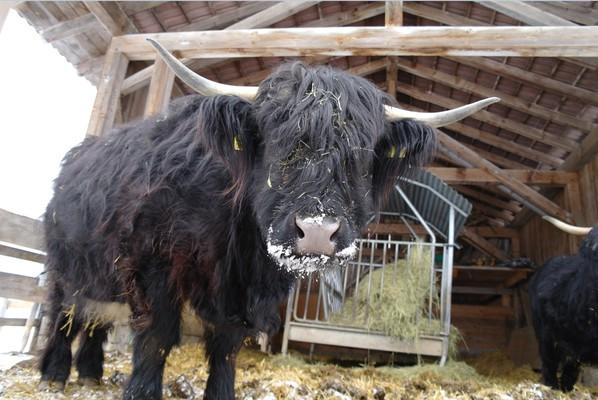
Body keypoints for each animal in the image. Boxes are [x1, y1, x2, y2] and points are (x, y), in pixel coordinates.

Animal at [38, 38, 502, 400]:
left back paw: (91, 374)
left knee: (93, 318)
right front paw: (141, 392)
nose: (316, 231)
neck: (236, 240)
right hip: (66, 266)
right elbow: (156, 335)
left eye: (361, 156)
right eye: (279, 144)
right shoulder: (154, 261)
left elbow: (226, 344)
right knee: (64, 312)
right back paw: (55, 373)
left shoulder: (240, 290)